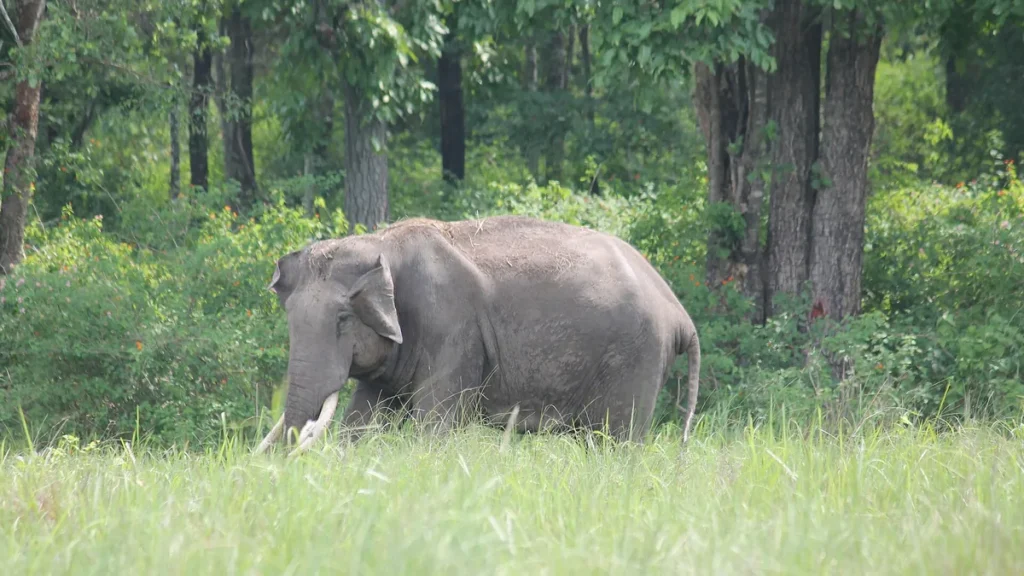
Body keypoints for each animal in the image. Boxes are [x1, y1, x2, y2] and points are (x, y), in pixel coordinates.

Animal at [254, 215, 701, 456]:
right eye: (289, 319)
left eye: (343, 319)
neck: (379, 245)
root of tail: (680, 314)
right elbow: (363, 418)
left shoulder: (450, 327)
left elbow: (435, 422)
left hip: (635, 358)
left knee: (618, 440)